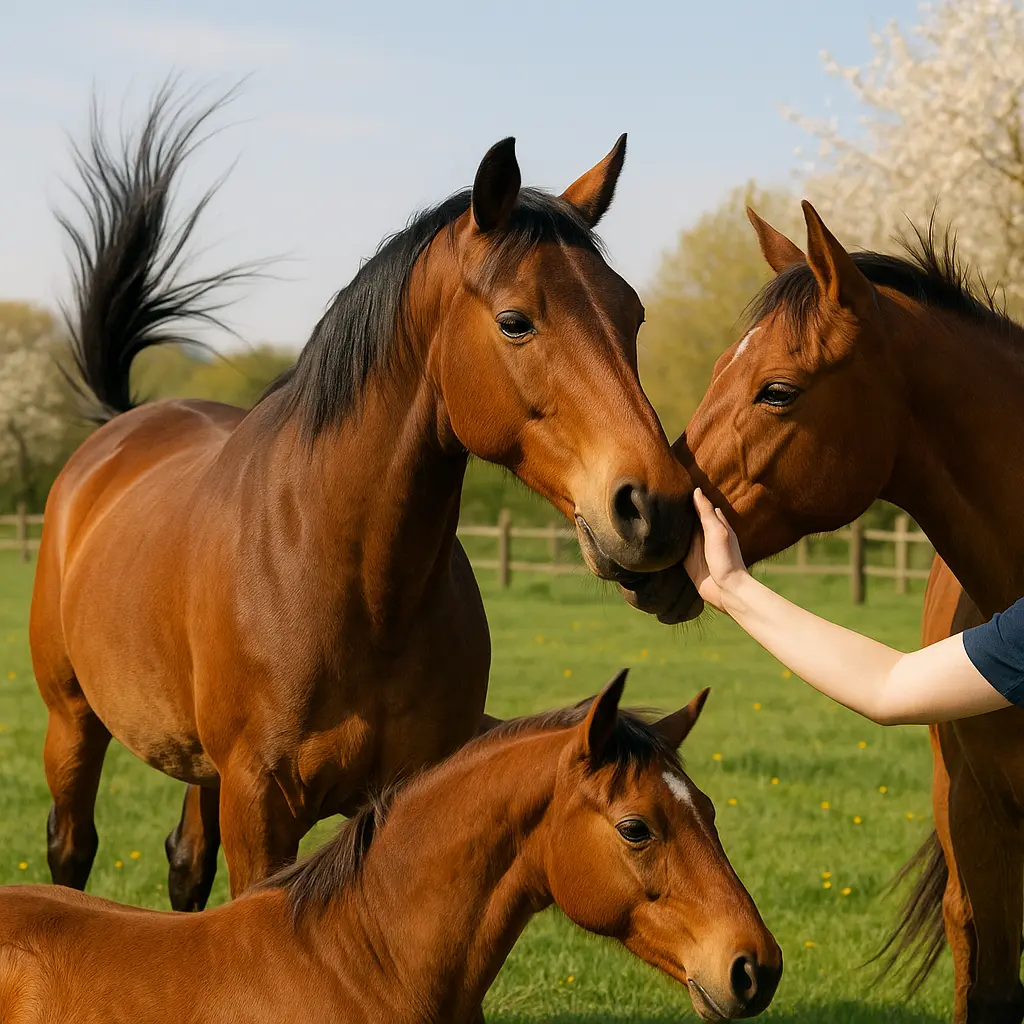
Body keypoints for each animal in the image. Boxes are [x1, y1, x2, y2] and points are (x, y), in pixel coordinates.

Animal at [32, 87, 695, 913]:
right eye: (515, 321)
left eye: (632, 316)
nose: (658, 506)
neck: (342, 576)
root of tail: (115, 431)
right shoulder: (259, 808)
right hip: (72, 722)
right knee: (71, 849)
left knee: (185, 862)